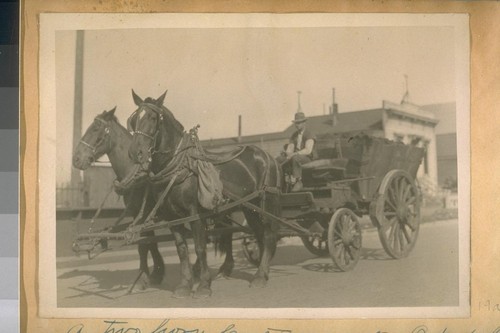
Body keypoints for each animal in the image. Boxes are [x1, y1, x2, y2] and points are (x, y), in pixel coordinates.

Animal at [72, 108, 164, 286]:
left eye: (95, 129)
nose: (76, 159)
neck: (134, 173)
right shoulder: (137, 213)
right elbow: (146, 243)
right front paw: (154, 272)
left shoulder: (146, 213)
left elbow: (145, 243)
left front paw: (149, 275)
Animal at [127, 89, 282, 296]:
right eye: (134, 120)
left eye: (153, 118)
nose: (135, 153)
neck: (179, 167)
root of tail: (268, 157)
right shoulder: (172, 217)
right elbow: (182, 250)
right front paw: (184, 285)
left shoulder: (195, 214)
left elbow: (200, 248)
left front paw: (204, 285)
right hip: (249, 208)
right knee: (259, 234)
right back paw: (262, 273)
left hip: (267, 203)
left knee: (269, 235)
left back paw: (259, 276)